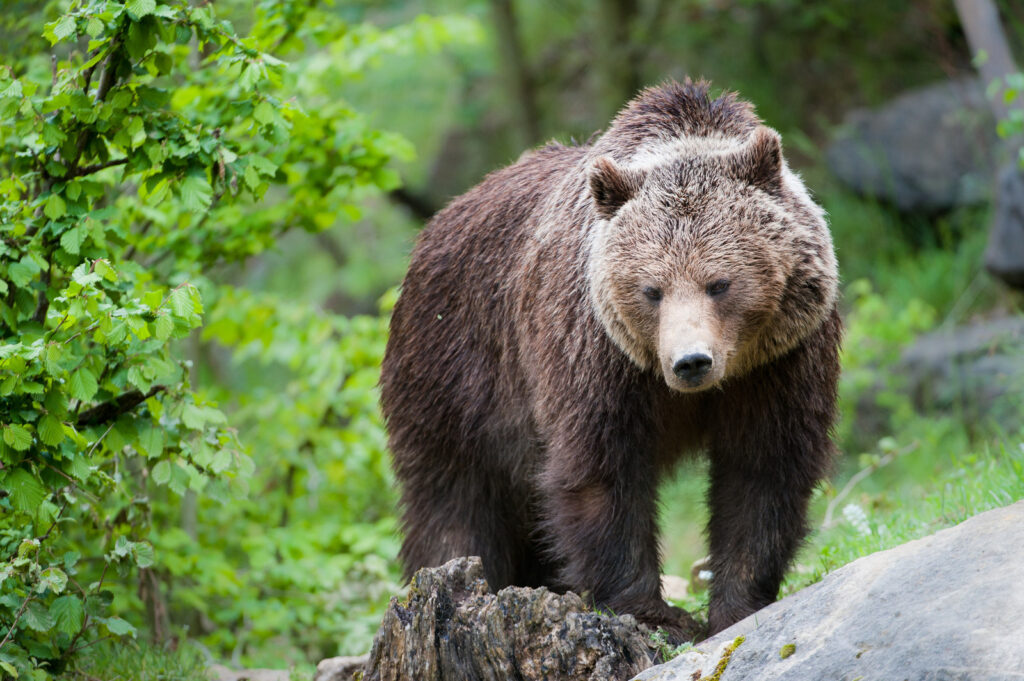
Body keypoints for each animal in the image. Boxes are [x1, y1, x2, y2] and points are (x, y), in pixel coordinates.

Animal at [378, 79, 839, 639]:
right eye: (652, 290)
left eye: (719, 282)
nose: (691, 362)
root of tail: (431, 230)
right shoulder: (595, 355)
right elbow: (601, 472)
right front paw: (655, 613)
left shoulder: (781, 360)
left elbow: (763, 470)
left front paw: (737, 606)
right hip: (455, 370)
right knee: (453, 497)